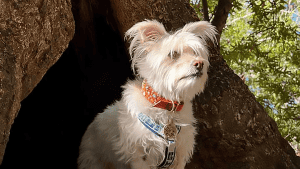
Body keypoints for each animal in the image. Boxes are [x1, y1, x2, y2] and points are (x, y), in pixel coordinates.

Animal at [77, 20, 216, 169]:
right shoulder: (141, 156)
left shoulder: (178, 155)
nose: (200, 63)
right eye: (173, 54)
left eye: (195, 53)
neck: (166, 106)